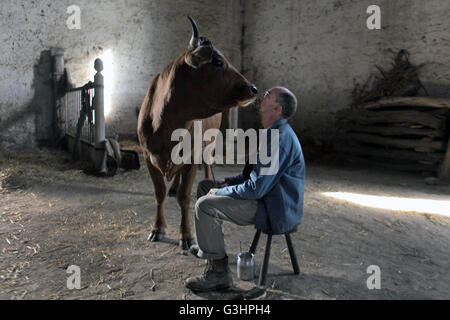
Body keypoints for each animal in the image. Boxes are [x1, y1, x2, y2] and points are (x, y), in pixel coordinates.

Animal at [136, 16, 256, 250]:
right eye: (217, 62)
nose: (253, 88)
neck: (166, 126)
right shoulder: (147, 156)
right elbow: (159, 193)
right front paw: (157, 228)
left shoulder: (191, 156)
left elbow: (184, 197)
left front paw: (186, 235)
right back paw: (173, 186)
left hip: (209, 142)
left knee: (207, 162)